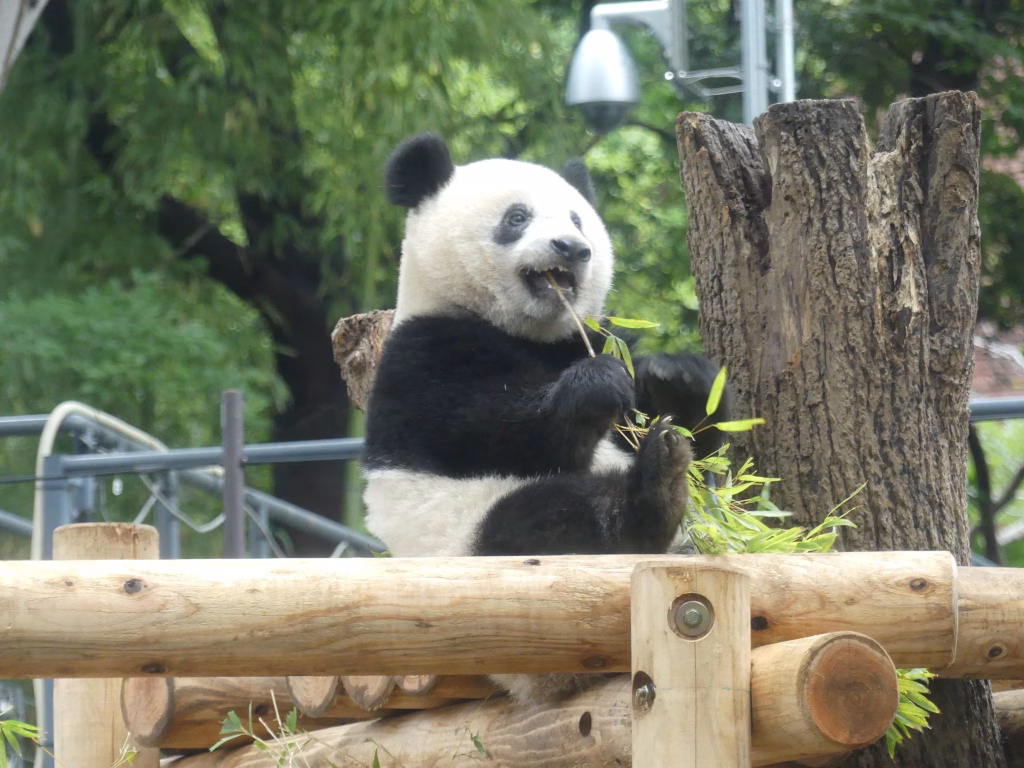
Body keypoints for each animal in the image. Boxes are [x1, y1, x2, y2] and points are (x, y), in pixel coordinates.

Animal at [362, 132, 727, 702]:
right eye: (517, 217)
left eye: (577, 219)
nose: (572, 249)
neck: (530, 333)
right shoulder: (421, 355)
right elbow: (484, 431)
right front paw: (594, 387)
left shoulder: (595, 335)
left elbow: (702, 427)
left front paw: (675, 376)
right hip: (475, 552)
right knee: (551, 521)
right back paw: (653, 491)